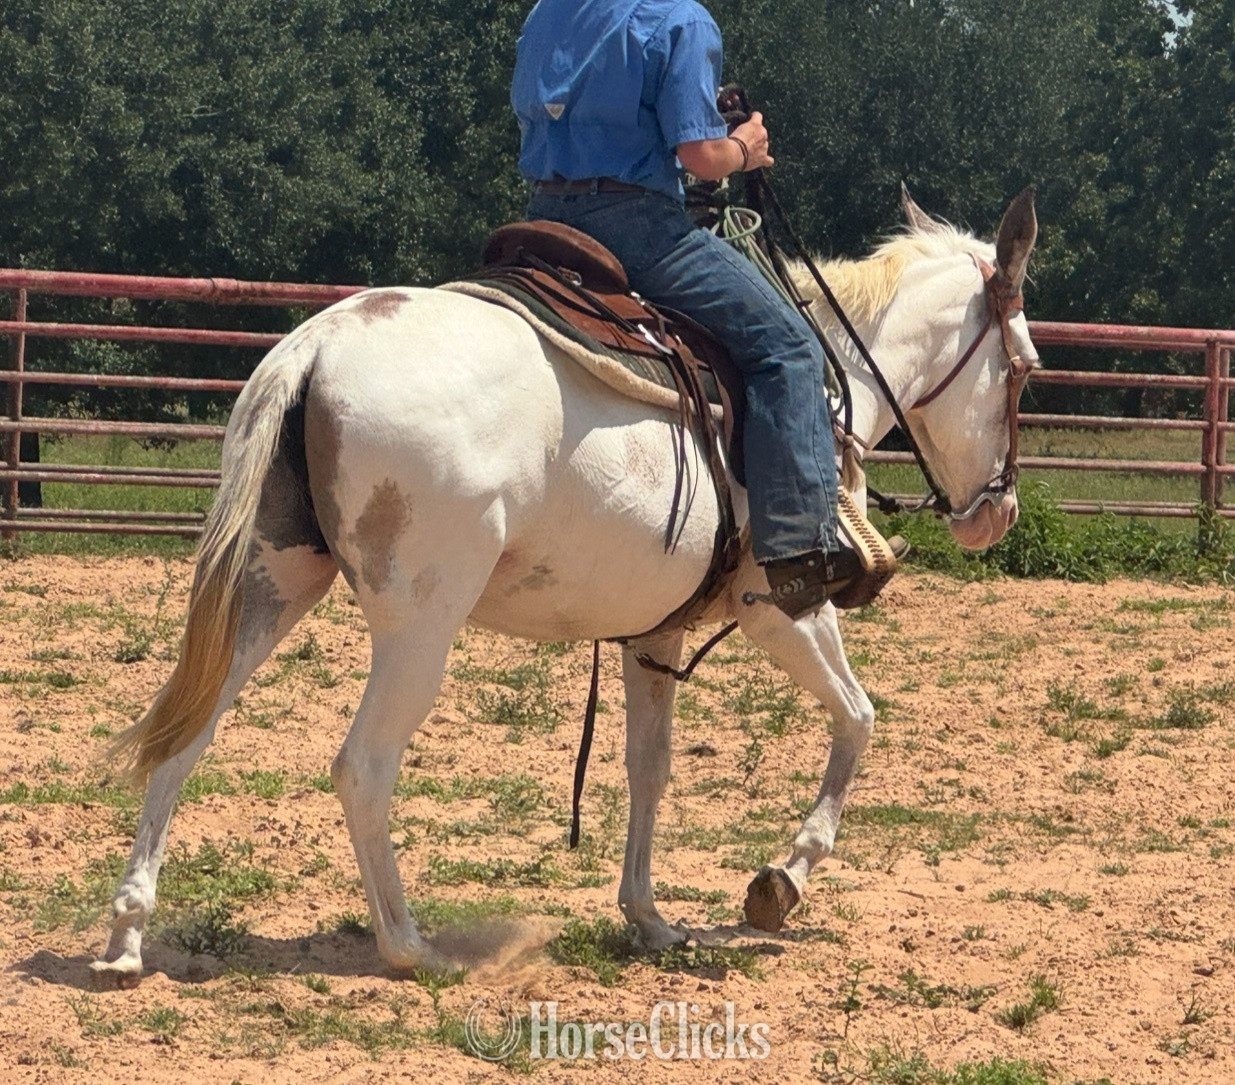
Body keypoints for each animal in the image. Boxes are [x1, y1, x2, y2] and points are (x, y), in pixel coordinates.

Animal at [91, 187, 1039, 979]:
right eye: (1025, 365)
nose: (996, 512)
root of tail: (319, 344)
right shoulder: (780, 608)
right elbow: (857, 718)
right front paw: (783, 878)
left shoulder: (655, 630)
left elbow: (649, 766)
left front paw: (648, 916)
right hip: (418, 628)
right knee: (362, 766)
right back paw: (409, 944)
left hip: (271, 584)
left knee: (187, 736)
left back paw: (128, 933)